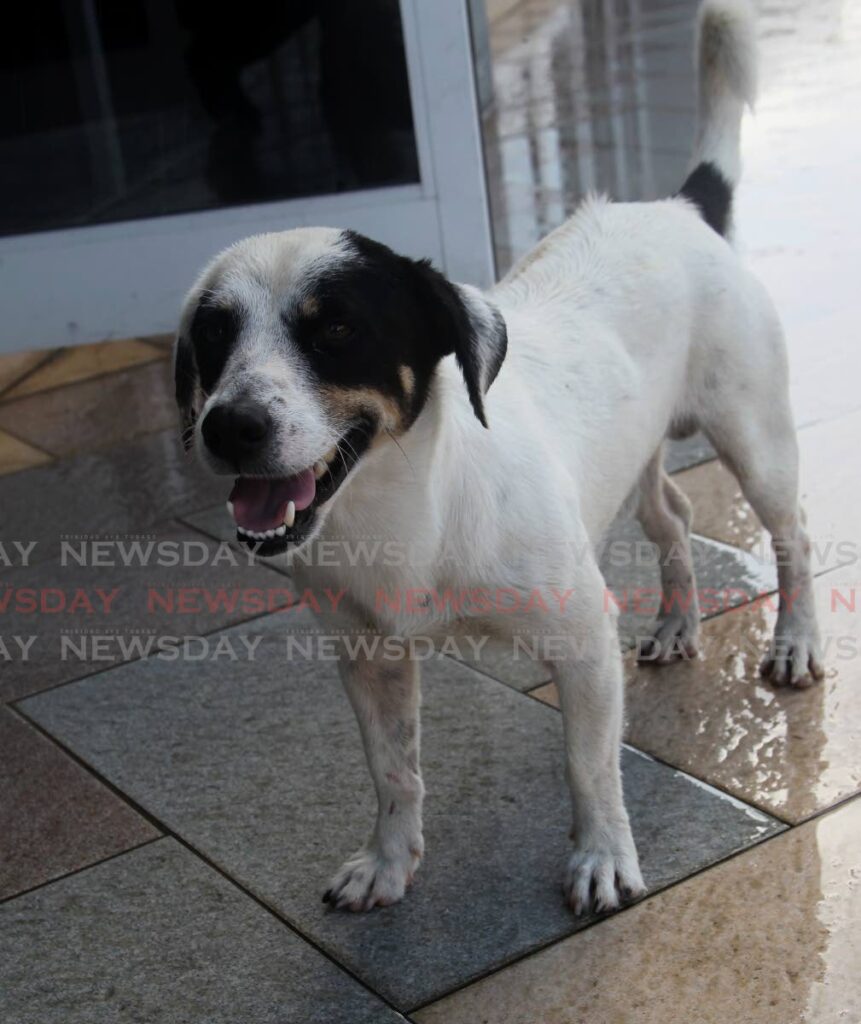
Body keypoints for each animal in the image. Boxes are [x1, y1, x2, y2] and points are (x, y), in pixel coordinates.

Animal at [173, 0, 819, 913]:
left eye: (336, 330)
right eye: (214, 336)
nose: (228, 427)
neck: (415, 508)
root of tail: (677, 206)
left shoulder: (581, 640)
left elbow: (588, 767)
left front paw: (601, 859)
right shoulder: (367, 655)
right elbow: (392, 773)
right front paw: (388, 862)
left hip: (753, 437)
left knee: (792, 534)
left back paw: (795, 642)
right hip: (635, 463)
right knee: (675, 515)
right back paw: (676, 622)